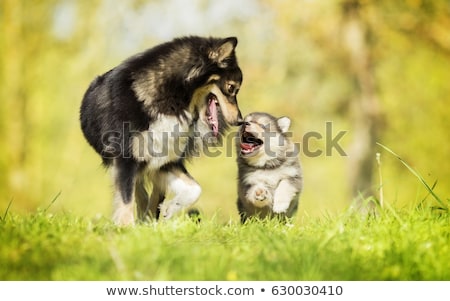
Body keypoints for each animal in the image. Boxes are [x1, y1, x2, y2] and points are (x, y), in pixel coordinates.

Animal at [80, 35, 243, 225]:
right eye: (231, 88)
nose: (240, 120)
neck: (170, 99)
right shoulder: (126, 158)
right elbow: (126, 198)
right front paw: (126, 227)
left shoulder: (165, 160)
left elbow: (195, 189)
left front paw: (170, 209)